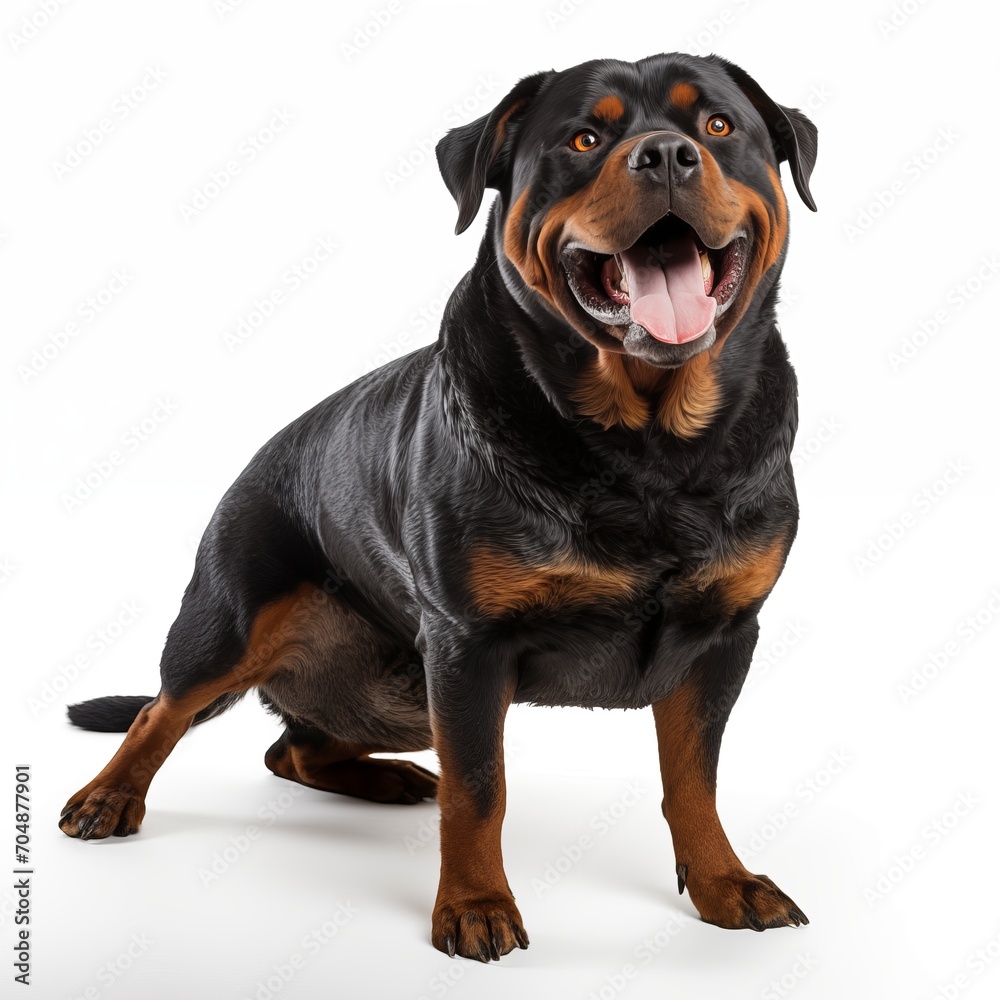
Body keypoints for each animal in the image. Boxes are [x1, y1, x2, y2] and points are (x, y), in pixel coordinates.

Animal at [58, 52, 816, 960]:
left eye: (718, 126)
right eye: (583, 138)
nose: (666, 154)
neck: (649, 444)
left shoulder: (724, 636)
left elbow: (694, 778)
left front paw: (723, 882)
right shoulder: (467, 646)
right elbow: (479, 788)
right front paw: (476, 904)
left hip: (397, 696)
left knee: (291, 749)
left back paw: (379, 778)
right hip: (239, 617)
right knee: (163, 710)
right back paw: (108, 797)